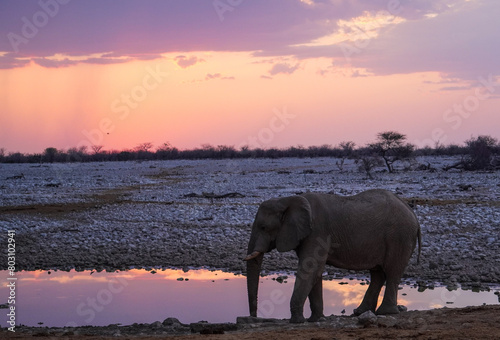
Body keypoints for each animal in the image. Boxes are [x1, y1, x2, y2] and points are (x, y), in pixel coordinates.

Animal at [244, 190, 420, 322]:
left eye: (263, 227)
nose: (253, 317)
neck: (289, 200)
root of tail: (412, 212)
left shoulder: (318, 232)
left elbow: (310, 269)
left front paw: (297, 321)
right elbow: (314, 271)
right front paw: (316, 319)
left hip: (399, 237)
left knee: (392, 272)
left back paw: (385, 312)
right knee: (378, 274)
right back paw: (360, 312)